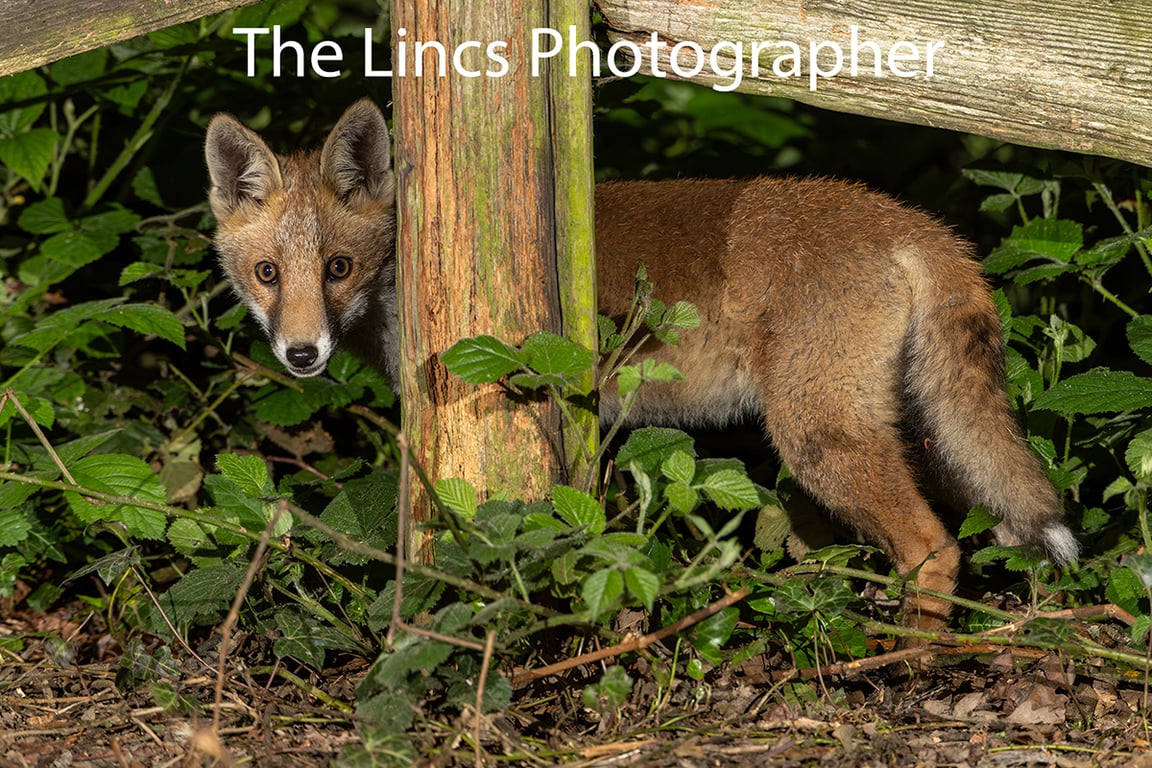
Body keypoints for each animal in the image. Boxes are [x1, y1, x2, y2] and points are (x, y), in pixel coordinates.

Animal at [205, 98, 1078, 633]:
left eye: (339, 268)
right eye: (268, 274)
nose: (302, 353)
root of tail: (911, 220)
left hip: (820, 437)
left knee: (936, 547)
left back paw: (908, 660)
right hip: (906, 428)